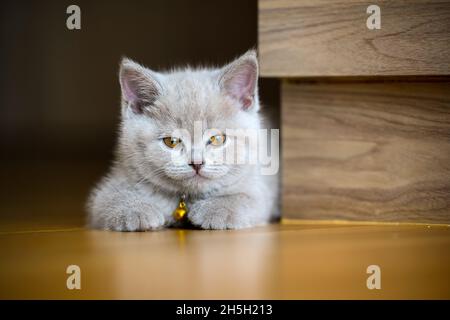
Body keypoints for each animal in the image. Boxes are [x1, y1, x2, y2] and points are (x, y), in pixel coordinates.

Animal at [87, 50, 278, 230]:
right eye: (172, 141)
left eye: (217, 139)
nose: (197, 162)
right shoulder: (111, 186)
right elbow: (110, 198)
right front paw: (135, 211)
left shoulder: (259, 187)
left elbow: (245, 198)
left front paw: (216, 210)